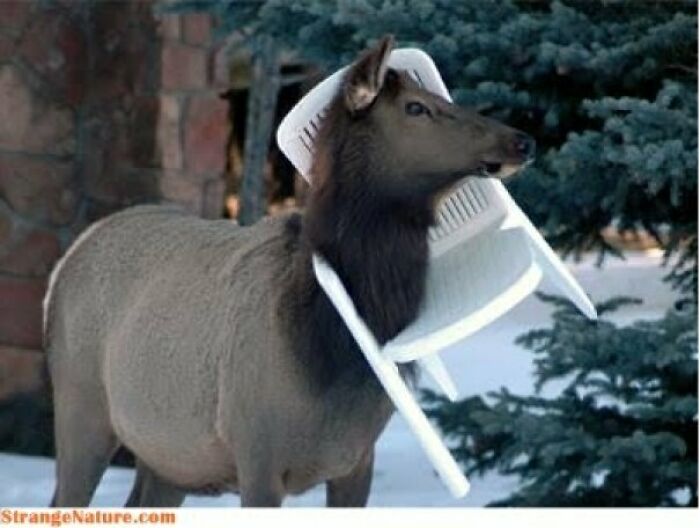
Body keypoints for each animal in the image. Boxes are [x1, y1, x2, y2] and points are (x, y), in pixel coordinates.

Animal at [45, 36, 534, 508]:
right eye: (416, 107)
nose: (521, 140)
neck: (326, 348)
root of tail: (66, 262)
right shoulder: (258, 455)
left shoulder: (357, 459)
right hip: (81, 408)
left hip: (171, 456)